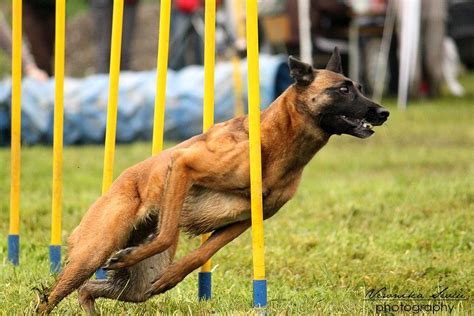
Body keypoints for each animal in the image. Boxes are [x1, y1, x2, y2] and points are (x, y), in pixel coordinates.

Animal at [37, 47, 390, 314]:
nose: (383, 112)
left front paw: (171, 277)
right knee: (51, 296)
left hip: (133, 285)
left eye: (360, 87)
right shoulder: (184, 165)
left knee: (90, 290)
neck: (274, 142)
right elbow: (167, 233)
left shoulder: (246, 220)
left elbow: (200, 255)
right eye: (343, 89)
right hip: (94, 251)